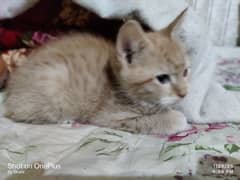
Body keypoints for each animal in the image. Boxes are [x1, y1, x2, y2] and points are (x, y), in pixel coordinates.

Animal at [3, 13, 190, 134]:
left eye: (186, 72)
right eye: (162, 78)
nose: (184, 94)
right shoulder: (109, 116)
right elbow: (148, 120)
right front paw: (176, 118)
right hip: (55, 80)